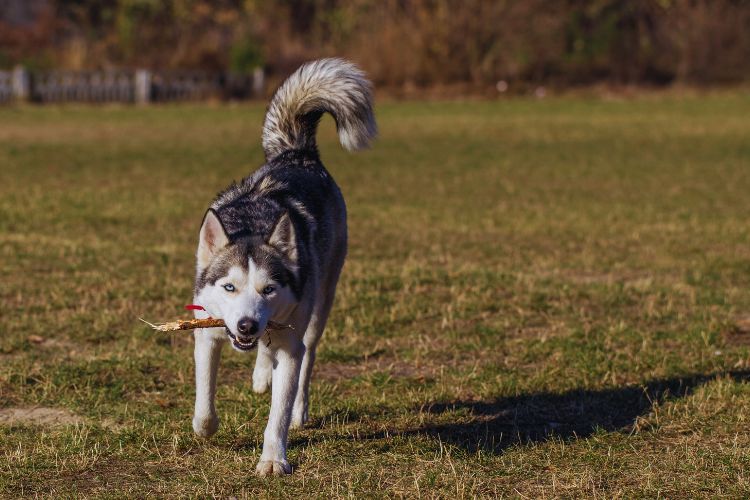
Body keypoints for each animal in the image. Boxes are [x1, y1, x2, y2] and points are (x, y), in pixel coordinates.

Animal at [188, 58, 376, 476]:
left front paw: (273, 460)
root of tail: (297, 153)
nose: (246, 325)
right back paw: (261, 372)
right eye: (229, 287)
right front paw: (205, 428)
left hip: (320, 306)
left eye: (269, 289)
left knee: (307, 358)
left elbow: (279, 410)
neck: (255, 223)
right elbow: (205, 402)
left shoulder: (290, 344)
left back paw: (297, 407)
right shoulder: (207, 333)